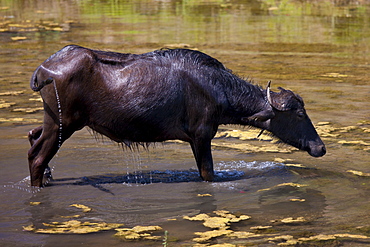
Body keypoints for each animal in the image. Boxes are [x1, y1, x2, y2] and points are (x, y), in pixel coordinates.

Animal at [27, 45, 326, 186]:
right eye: (300, 114)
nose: (320, 147)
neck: (219, 89)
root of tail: (43, 69)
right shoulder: (202, 135)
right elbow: (207, 173)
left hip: (54, 120)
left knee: (32, 136)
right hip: (64, 123)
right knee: (37, 157)